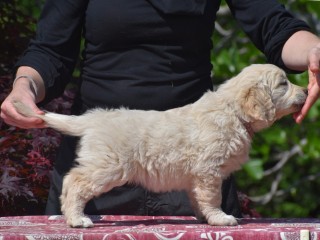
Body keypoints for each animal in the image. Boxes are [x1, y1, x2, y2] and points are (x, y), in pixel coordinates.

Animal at [13, 63, 308, 227]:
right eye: (283, 83)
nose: (306, 91)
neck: (233, 111)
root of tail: (93, 119)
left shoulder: (197, 176)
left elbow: (198, 199)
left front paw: (204, 218)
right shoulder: (209, 171)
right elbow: (212, 198)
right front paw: (220, 218)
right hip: (107, 166)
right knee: (74, 182)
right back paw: (77, 220)